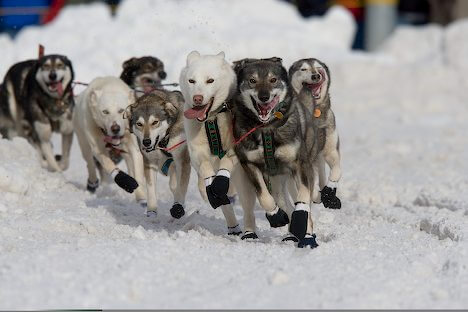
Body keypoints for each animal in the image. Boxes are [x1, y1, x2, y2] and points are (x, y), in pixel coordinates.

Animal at [124, 89, 194, 218]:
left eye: (155, 122)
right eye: (139, 124)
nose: (146, 142)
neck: (163, 142)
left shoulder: (182, 160)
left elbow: (181, 187)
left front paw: (178, 207)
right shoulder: (149, 162)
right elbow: (151, 187)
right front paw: (152, 210)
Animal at [179, 51, 258, 239]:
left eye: (210, 80)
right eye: (191, 81)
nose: (197, 98)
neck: (211, 119)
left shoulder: (235, 147)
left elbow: (225, 166)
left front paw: (220, 181)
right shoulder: (197, 151)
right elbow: (206, 169)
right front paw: (210, 185)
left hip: (243, 181)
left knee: (248, 209)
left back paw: (249, 231)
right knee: (223, 203)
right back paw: (232, 225)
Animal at [231, 58, 320, 249]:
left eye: (273, 80)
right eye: (252, 80)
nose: (264, 97)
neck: (266, 129)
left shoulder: (299, 164)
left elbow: (303, 199)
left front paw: (302, 226)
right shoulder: (249, 164)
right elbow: (264, 196)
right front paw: (276, 216)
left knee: (303, 203)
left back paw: (305, 235)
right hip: (269, 180)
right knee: (278, 201)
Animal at [288, 58, 342, 210]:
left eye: (318, 68)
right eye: (303, 69)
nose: (316, 76)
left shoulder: (330, 149)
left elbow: (337, 169)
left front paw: (329, 191)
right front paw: (316, 196)